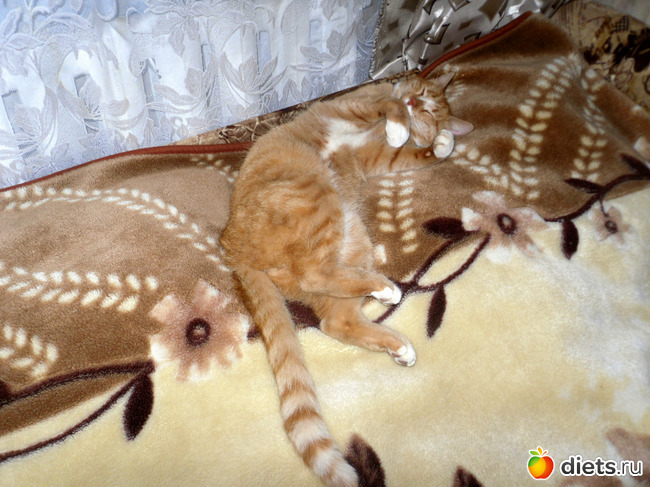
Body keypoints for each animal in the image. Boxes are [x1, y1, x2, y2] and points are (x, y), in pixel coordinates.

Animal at [220, 73, 473, 487]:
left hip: (349, 235)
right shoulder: (357, 104)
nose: (415, 105)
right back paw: (387, 293)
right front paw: (403, 123)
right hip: (318, 197)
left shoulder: (382, 156)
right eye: (420, 95)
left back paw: (395, 331)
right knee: (315, 280)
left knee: (334, 316)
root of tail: (231, 246)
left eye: (430, 112)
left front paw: (441, 139)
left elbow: (423, 152)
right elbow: (389, 106)